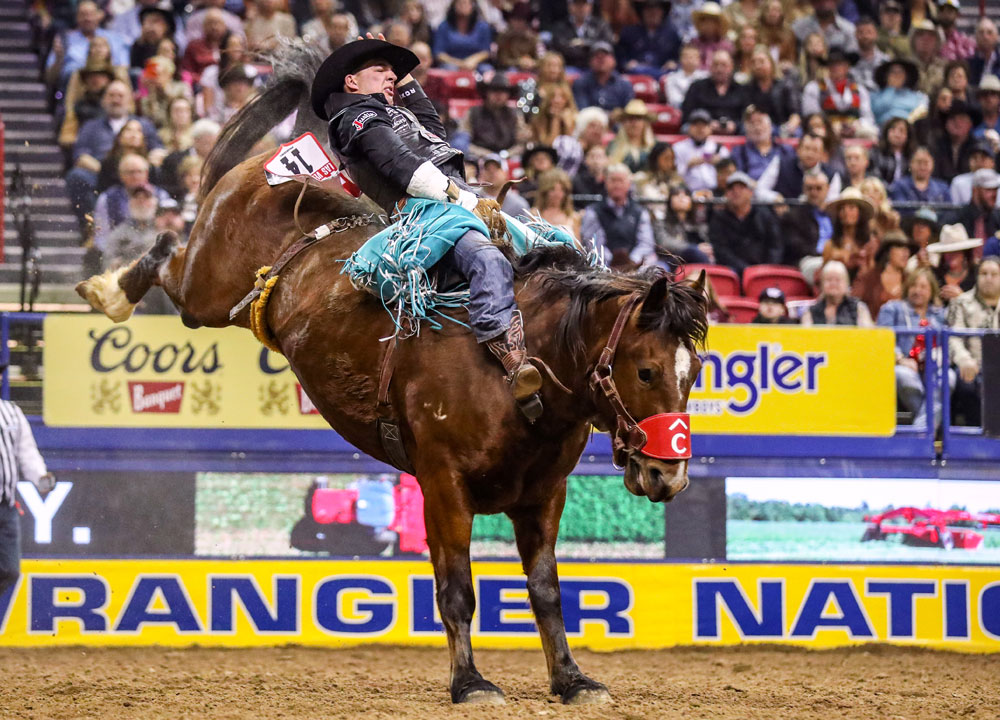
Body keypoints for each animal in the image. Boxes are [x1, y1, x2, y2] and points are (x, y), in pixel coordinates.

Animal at [76, 43, 712, 704]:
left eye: (694, 372)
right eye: (646, 370)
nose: (668, 474)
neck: (519, 370)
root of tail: (268, 174)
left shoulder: (545, 494)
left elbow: (546, 592)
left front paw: (571, 679)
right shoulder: (442, 485)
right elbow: (457, 590)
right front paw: (471, 684)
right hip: (205, 287)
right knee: (168, 255)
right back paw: (109, 290)